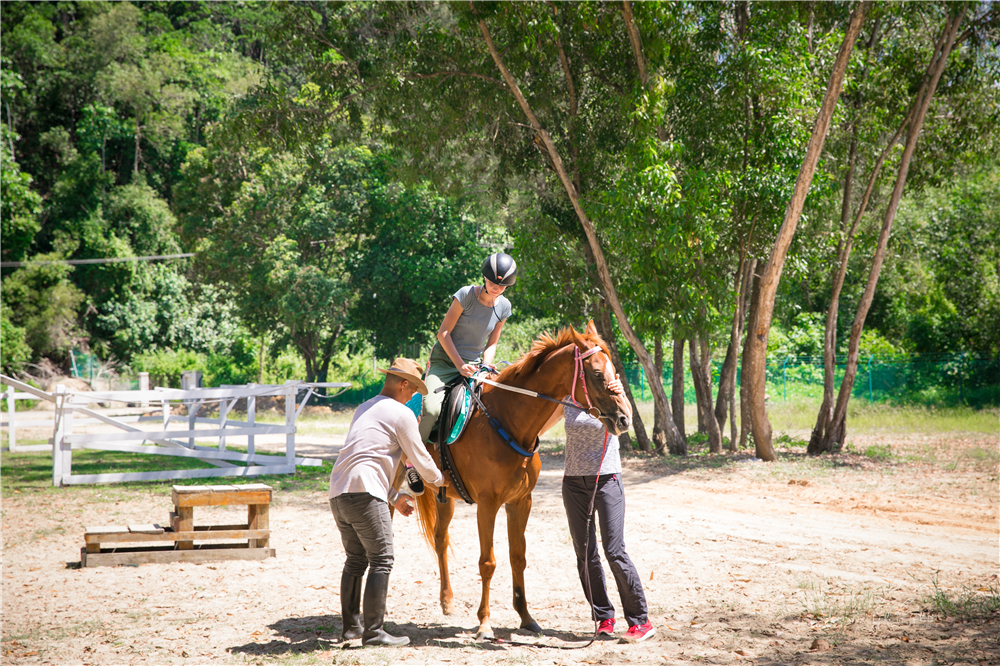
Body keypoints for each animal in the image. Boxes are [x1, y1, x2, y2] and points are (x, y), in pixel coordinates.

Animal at [408, 320, 628, 640]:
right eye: (598, 374)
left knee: (440, 539)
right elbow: (487, 563)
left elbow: (517, 557)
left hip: (444, 496)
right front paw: (485, 624)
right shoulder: (487, 505)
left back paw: (447, 601)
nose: (624, 419)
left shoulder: (520, 502)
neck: (507, 420)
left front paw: (526, 617)